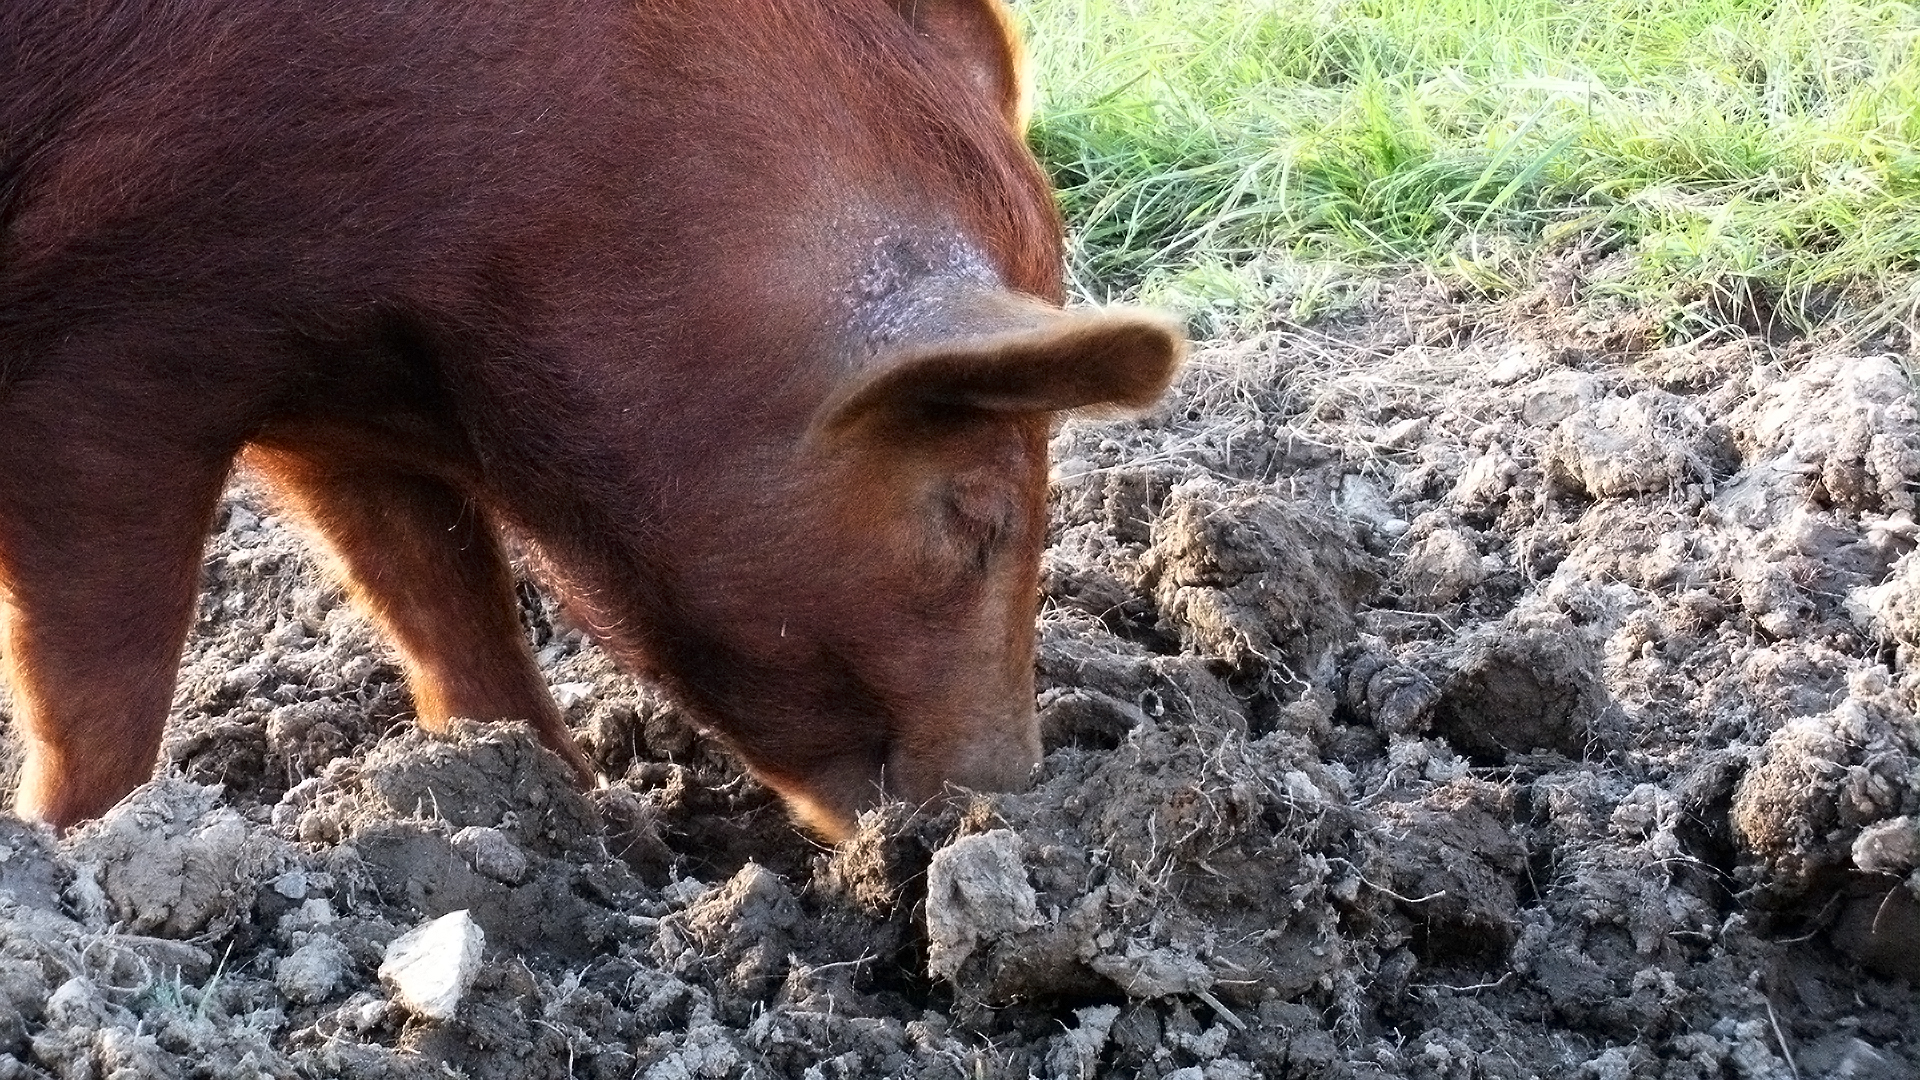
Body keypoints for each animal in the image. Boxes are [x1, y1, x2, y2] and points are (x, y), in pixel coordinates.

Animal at [0, 0, 1182, 839]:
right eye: (978, 516)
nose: (1009, 797)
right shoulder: (111, 352)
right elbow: (100, 686)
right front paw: (74, 846)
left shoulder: (346, 403)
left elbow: (448, 607)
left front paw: (601, 832)